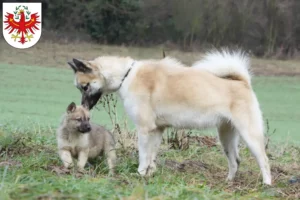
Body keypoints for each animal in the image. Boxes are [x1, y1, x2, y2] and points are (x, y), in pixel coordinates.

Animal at [67, 49, 272, 184]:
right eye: (80, 88)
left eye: (85, 87)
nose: (84, 107)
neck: (126, 75)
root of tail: (242, 82)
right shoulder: (157, 130)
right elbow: (152, 156)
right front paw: (149, 174)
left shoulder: (144, 129)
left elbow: (143, 155)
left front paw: (140, 174)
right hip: (226, 137)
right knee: (235, 161)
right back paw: (228, 182)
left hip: (249, 135)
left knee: (264, 160)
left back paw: (266, 185)